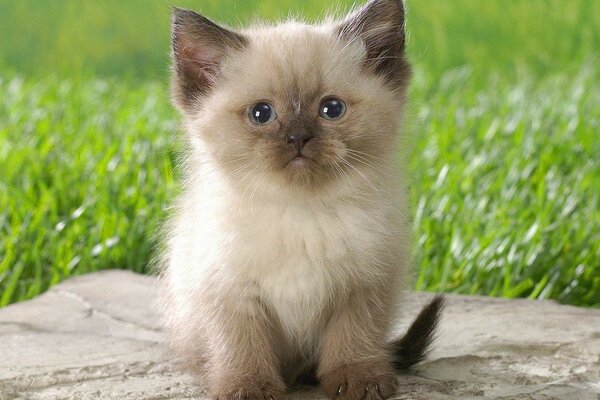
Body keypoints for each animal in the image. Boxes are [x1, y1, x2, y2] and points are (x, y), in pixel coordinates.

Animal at [158, 0, 440, 400]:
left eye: (332, 109)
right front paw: (248, 387)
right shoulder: (231, 293)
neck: (301, 211)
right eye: (261, 114)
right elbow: (242, 346)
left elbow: (353, 339)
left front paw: (358, 380)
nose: (298, 138)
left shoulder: (363, 285)